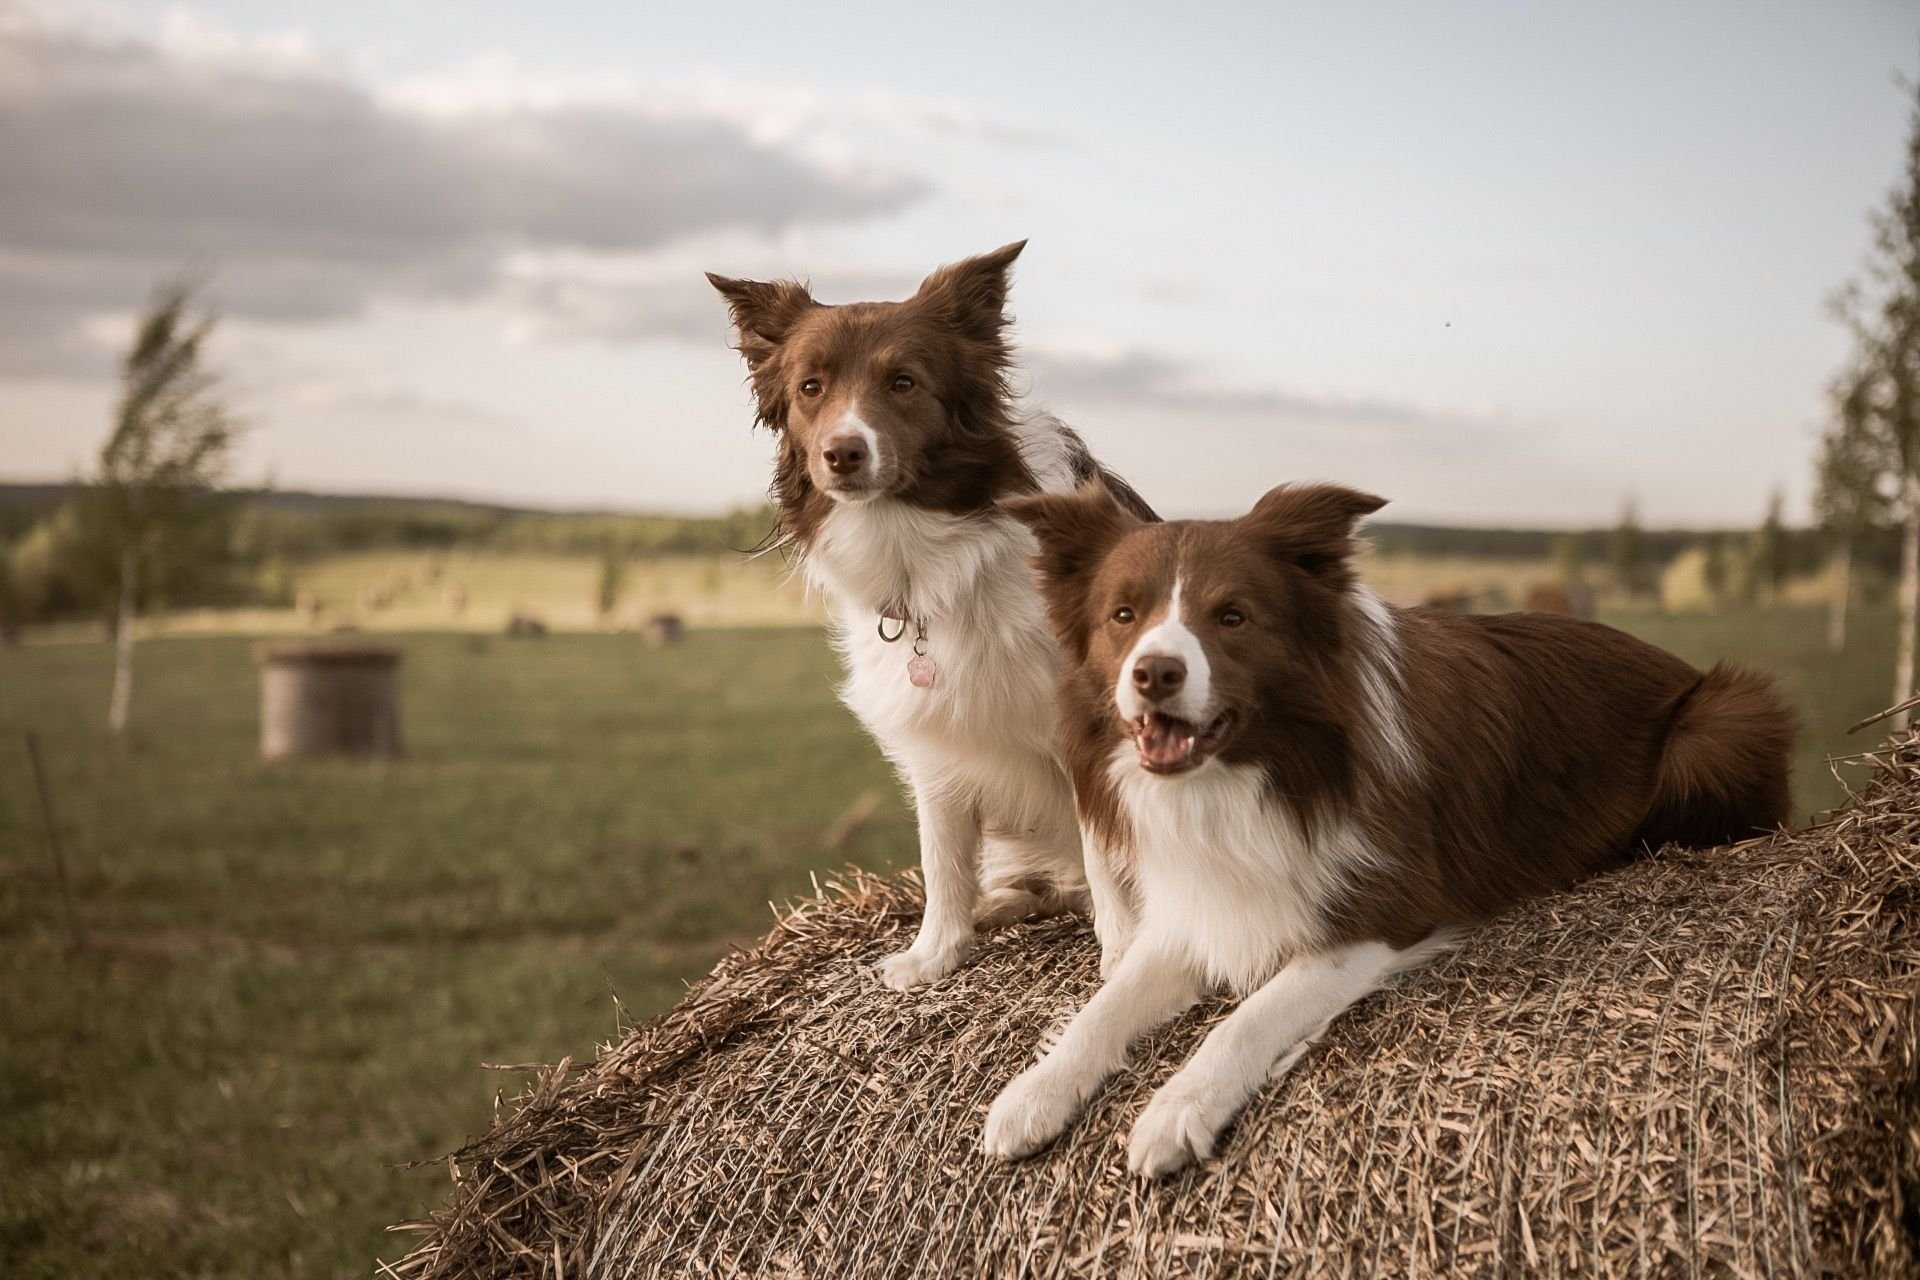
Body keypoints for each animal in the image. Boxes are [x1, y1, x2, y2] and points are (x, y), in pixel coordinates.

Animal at [710, 247, 1144, 990]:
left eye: (904, 382)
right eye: (811, 387)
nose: (842, 453)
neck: (933, 556)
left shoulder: (1091, 726)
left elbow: (1103, 852)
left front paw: (1119, 957)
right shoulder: (933, 732)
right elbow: (941, 855)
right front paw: (937, 952)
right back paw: (1003, 902)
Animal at [983, 477, 1789, 1174]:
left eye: (1232, 616)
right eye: (1123, 615)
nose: (1154, 673)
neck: (1264, 770)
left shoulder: (1383, 913)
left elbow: (1248, 1016)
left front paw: (1177, 1109)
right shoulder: (1201, 906)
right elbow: (1105, 1007)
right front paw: (1032, 1093)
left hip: (1722, 722)